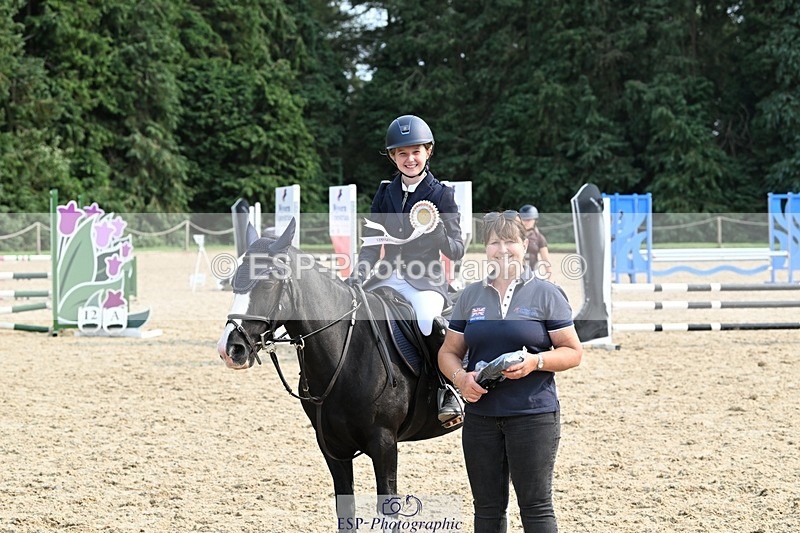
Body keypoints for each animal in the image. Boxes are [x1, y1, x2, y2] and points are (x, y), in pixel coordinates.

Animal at [216, 218, 461, 523]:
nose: (230, 349)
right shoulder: (333, 448)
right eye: (234, 279)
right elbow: (345, 510)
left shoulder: (384, 443)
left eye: (269, 282)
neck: (346, 352)